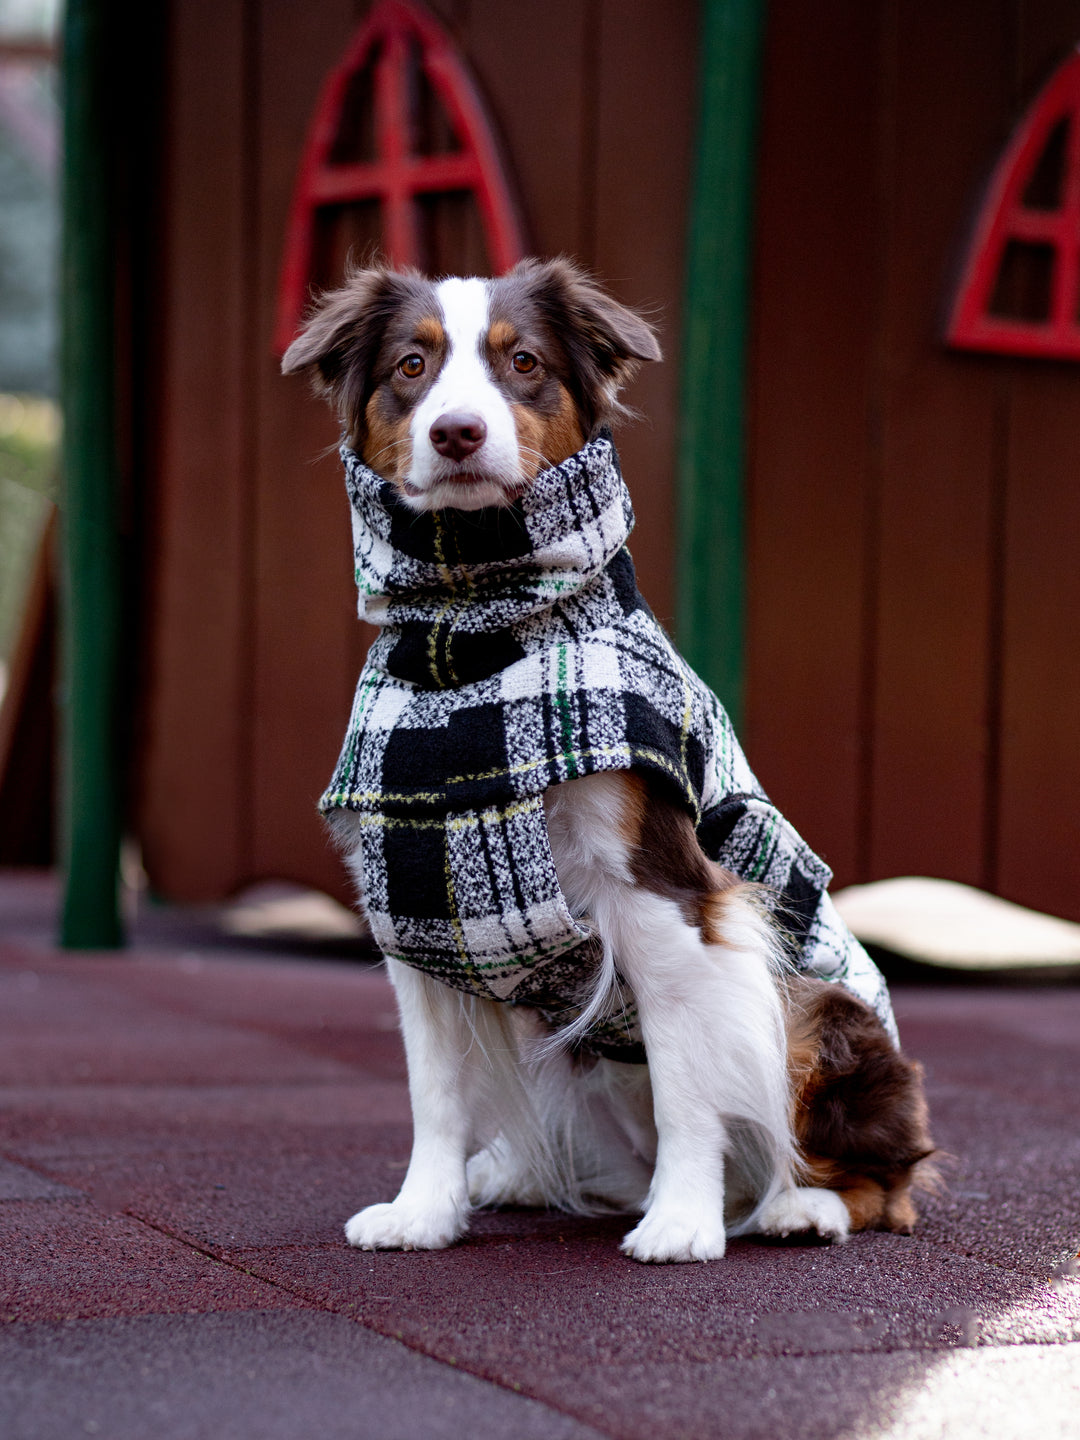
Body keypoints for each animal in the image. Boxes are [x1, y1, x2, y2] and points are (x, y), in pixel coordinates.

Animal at [283, 256, 933, 1261]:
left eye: (523, 362)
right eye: (410, 366)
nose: (457, 430)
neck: (471, 641)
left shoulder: (664, 892)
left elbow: (687, 1083)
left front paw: (682, 1224)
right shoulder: (419, 907)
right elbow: (435, 1091)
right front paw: (424, 1212)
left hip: (819, 1010)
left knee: (881, 1178)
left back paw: (798, 1206)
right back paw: (514, 1178)